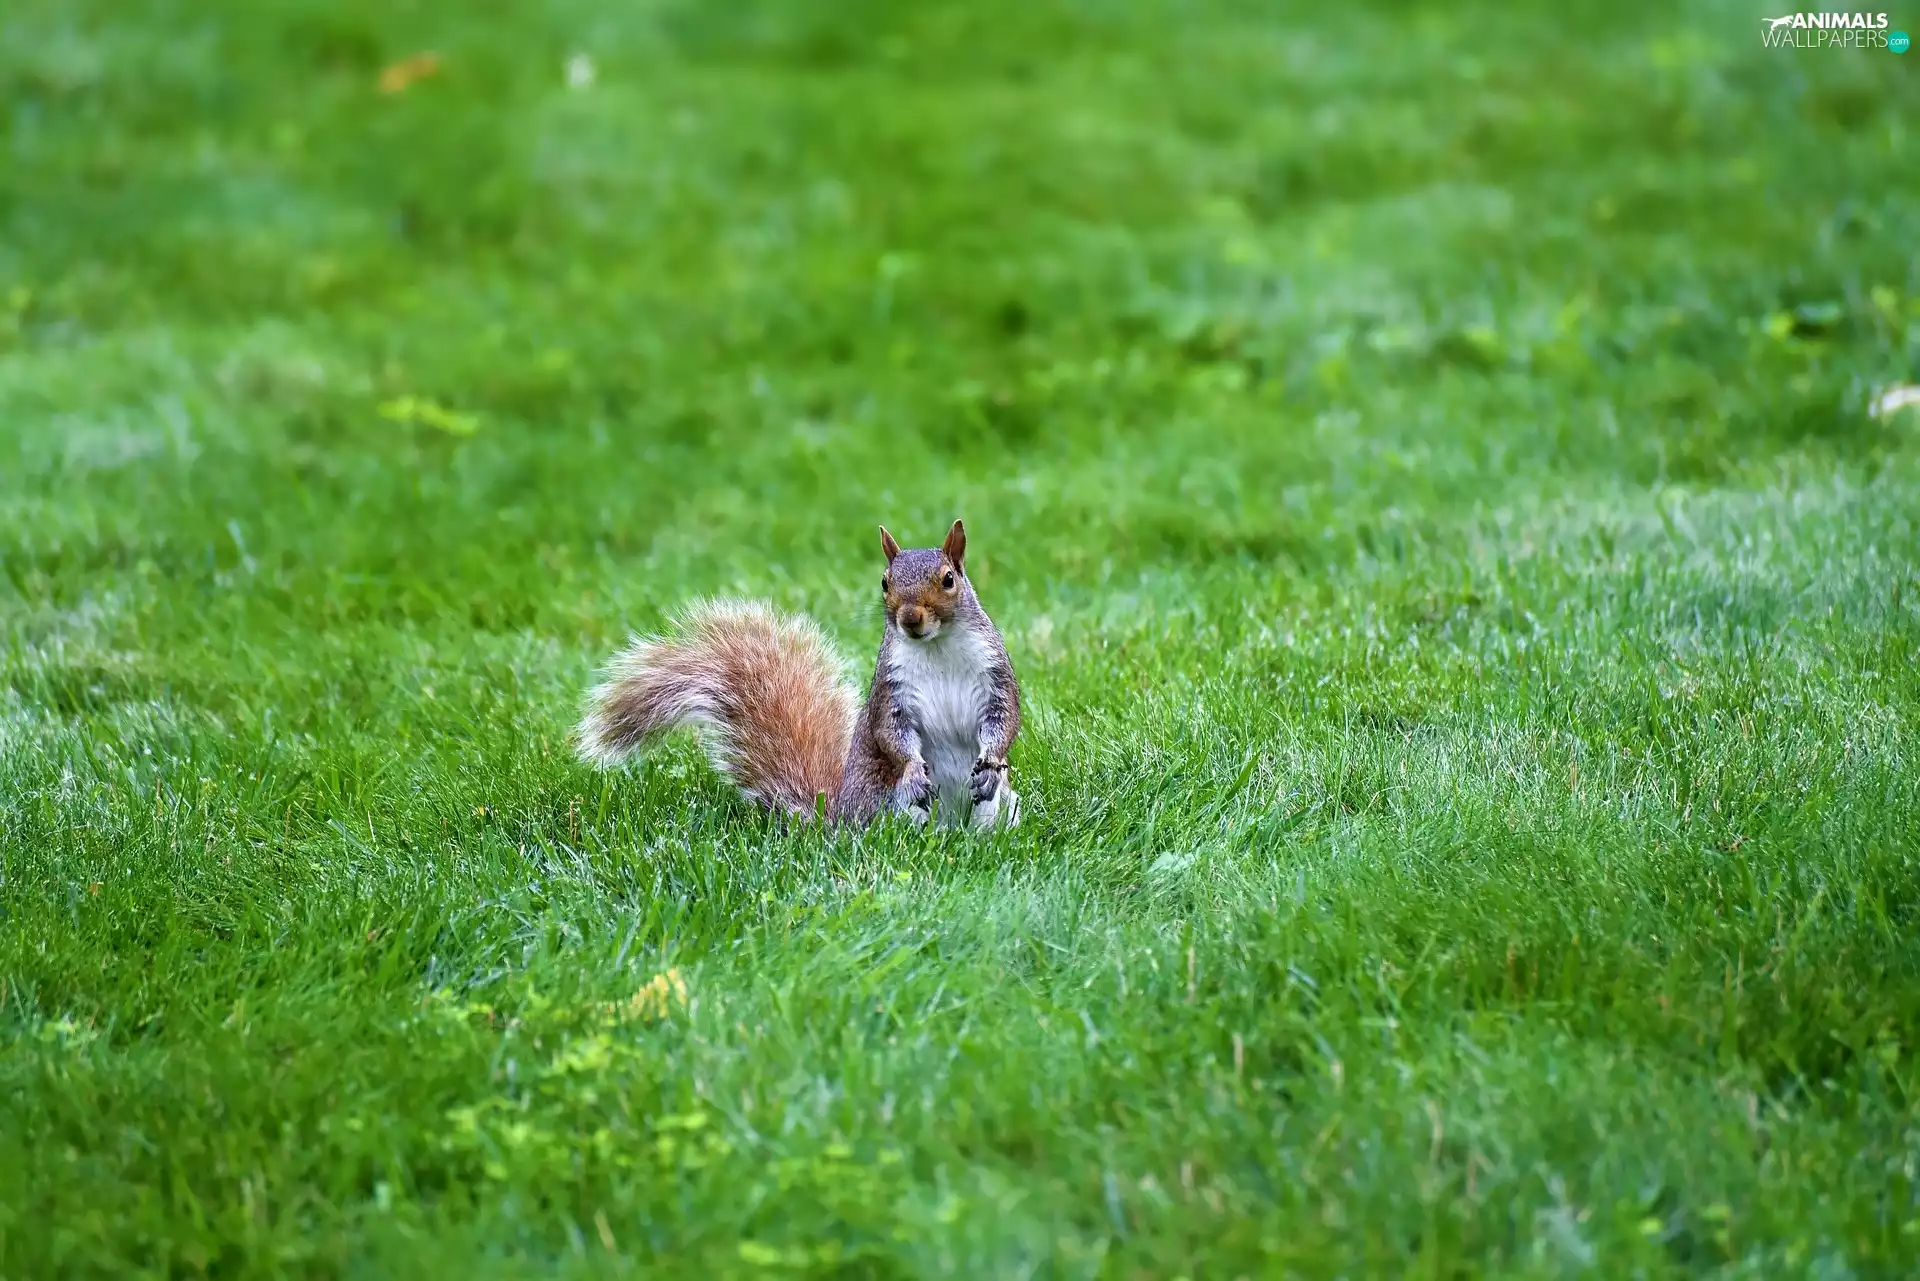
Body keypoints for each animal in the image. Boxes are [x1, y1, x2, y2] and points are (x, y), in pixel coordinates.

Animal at [576, 520, 1021, 830]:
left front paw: (989, 762)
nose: (909, 618)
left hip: (1004, 805)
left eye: (949, 579)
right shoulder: (890, 691)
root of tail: (837, 824)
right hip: (887, 805)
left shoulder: (995, 677)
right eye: (884, 582)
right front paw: (912, 771)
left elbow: (1003, 722)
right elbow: (891, 735)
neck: (936, 646)